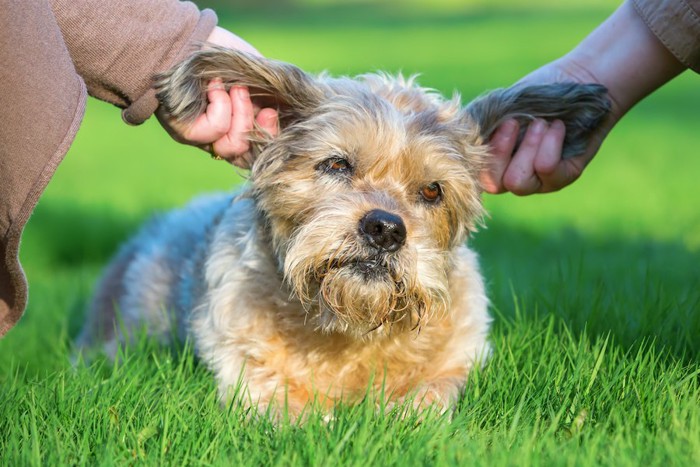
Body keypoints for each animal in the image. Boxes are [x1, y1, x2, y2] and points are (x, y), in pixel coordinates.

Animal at [76, 47, 608, 420]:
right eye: (336, 164)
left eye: (432, 190)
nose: (385, 229)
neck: (348, 329)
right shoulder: (246, 368)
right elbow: (290, 412)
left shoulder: (459, 361)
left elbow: (429, 399)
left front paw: (398, 420)